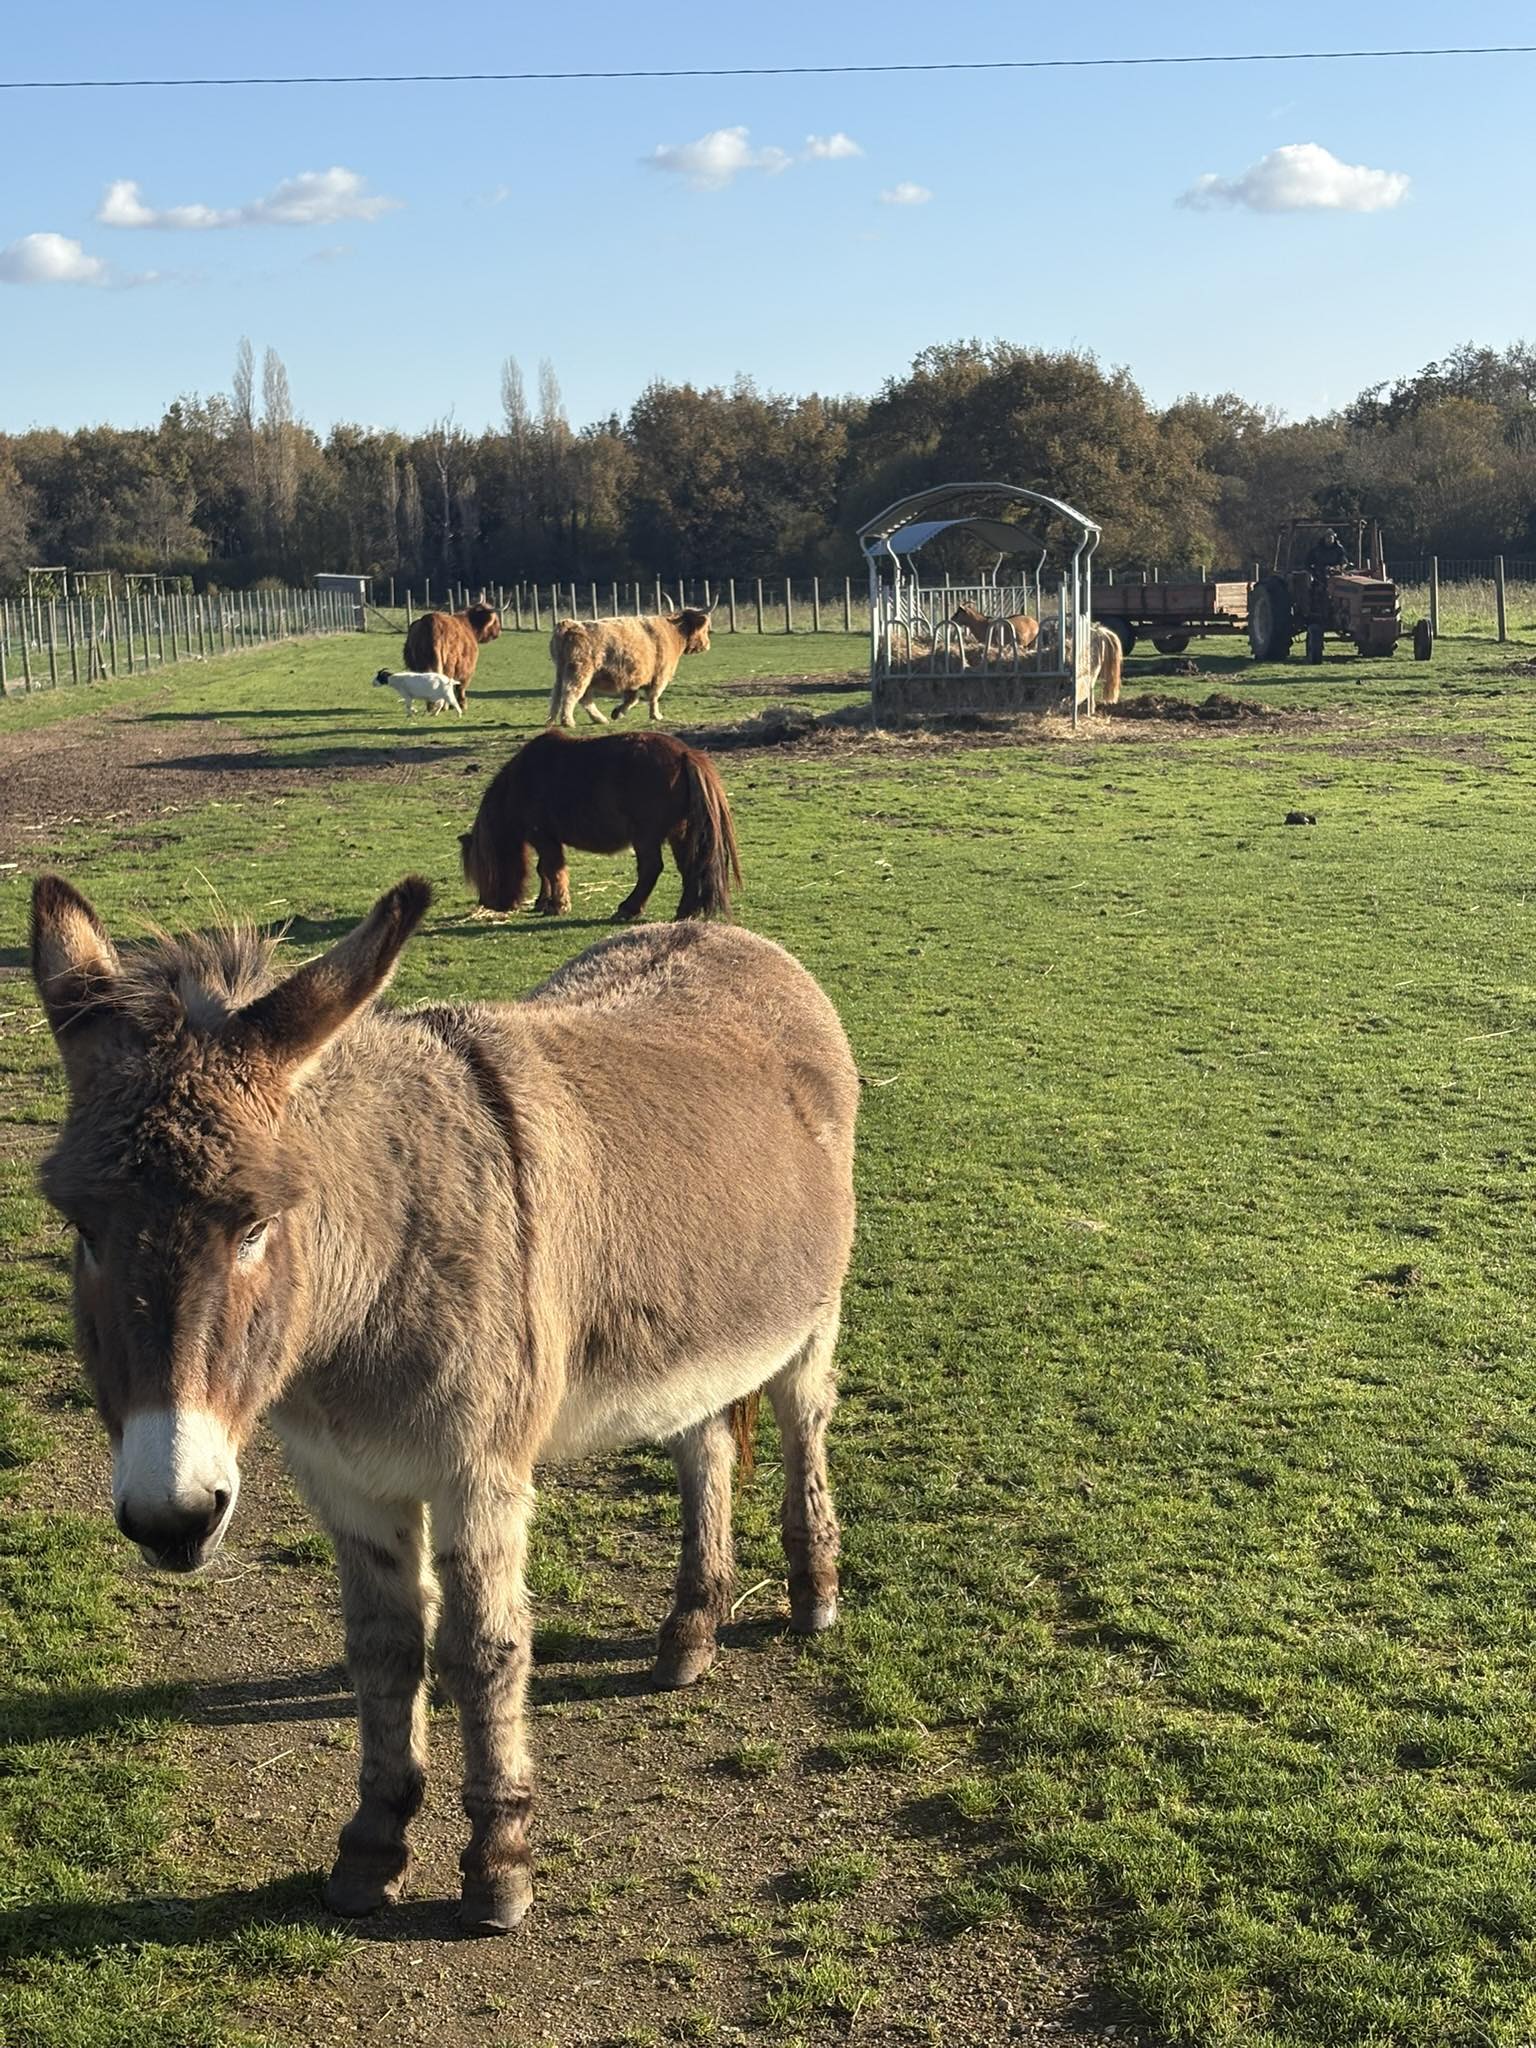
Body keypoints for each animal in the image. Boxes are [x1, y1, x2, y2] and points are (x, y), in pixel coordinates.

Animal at [30, 876, 857, 1934]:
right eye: (82, 1228)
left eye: (256, 1225)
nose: (170, 1517)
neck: (370, 1289)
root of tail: (724, 932)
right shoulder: (345, 1480)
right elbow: (383, 1653)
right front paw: (372, 1848)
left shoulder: (481, 1474)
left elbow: (484, 1651)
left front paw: (498, 1866)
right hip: (690, 1330)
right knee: (703, 1447)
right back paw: (690, 1633)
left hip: (810, 1317)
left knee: (803, 1424)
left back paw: (813, 1591)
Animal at [460, 728, 741, 921]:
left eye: (483, 869)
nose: (491, 904)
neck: (520, 781)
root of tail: (685, 754)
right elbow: (544, 870)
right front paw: (544, 902)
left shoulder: (544, 838)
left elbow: (552, 869)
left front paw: (558, 905)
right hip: (679, 832)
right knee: (688, 868)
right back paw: (684, 913)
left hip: (647, 836)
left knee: (651, 868)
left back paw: (628, 909)